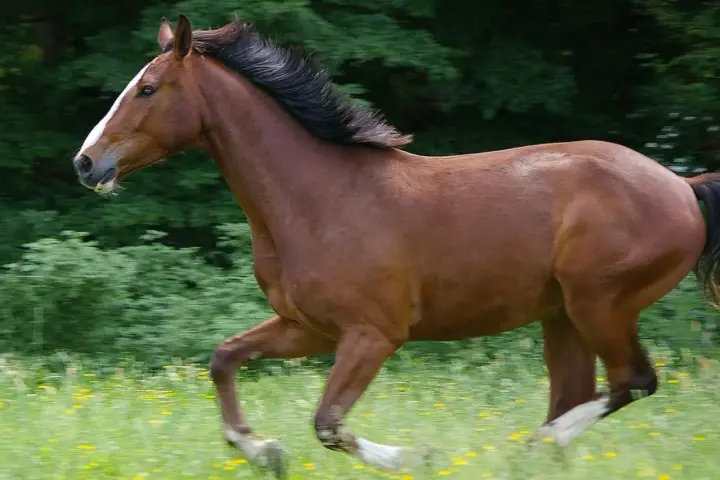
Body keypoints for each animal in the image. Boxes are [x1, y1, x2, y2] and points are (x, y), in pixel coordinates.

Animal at [71, 13, 720, 478]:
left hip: (600, 304)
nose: (85, 163)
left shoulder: (373, 335)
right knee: (580, 395)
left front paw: (417, 457)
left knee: (633, 381)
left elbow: (328, 423)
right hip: (561, 316)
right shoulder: (308, 329)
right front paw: (264, 452)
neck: (319, 199)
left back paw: (526, 447)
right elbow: (224, 359)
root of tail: (682, 187)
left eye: (148, 89)